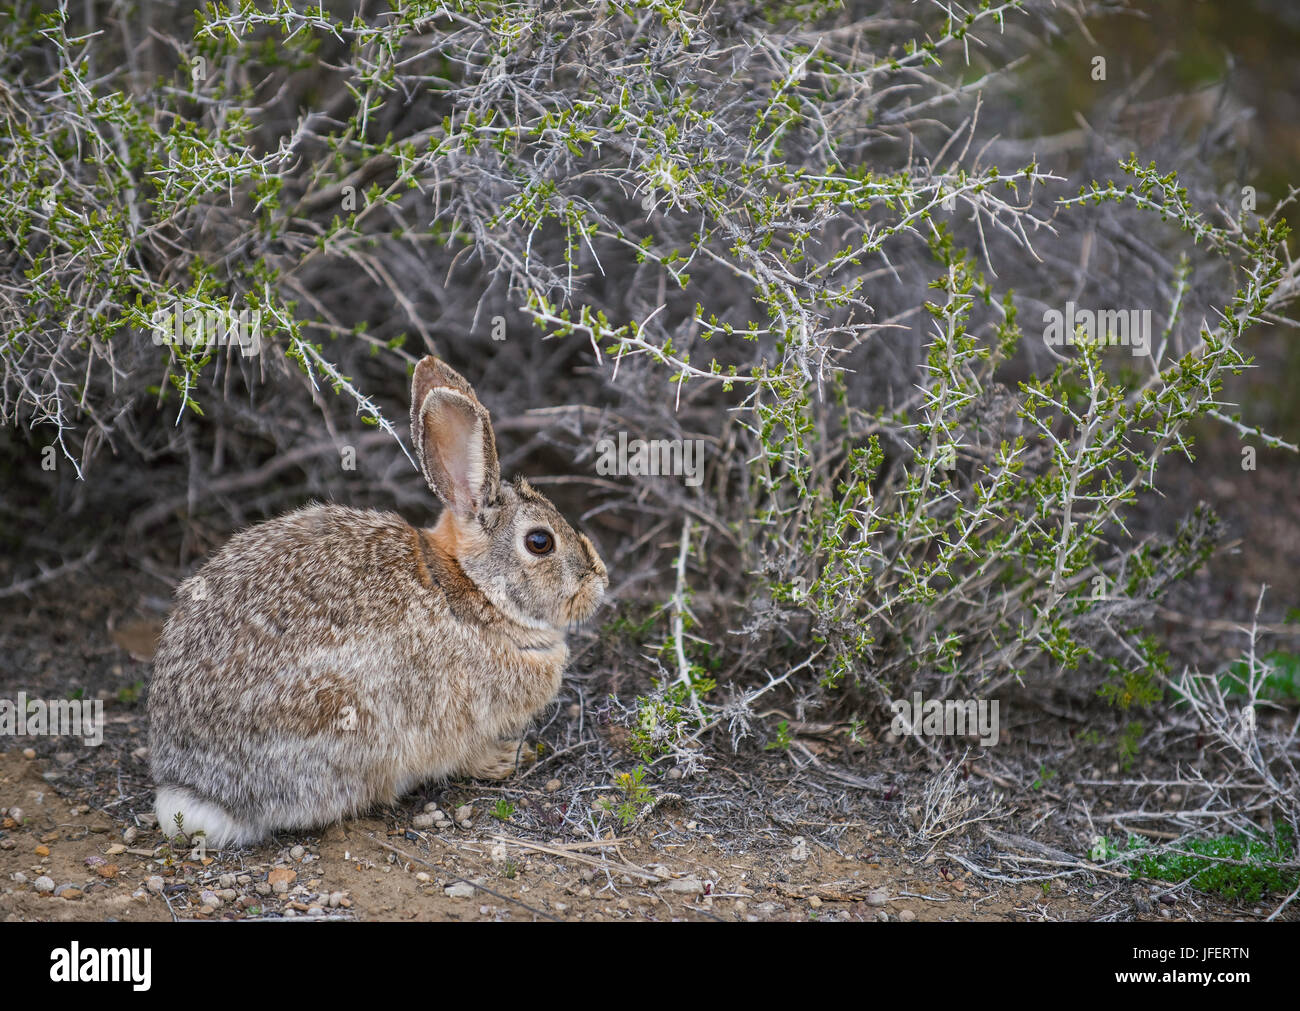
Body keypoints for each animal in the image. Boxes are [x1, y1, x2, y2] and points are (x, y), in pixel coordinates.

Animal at [148, 353, 608, 842]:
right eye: (540, 542)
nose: (599, 580)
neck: (471, 587)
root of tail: (195, 789)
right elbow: (468, 755)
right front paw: (503, 760)